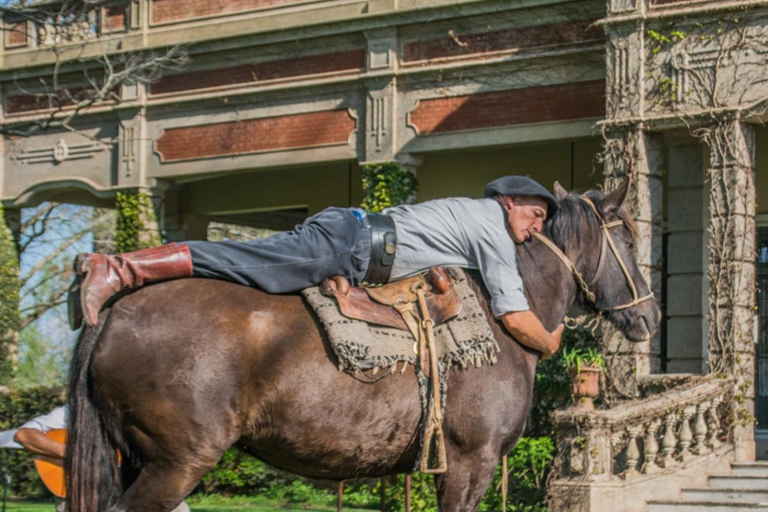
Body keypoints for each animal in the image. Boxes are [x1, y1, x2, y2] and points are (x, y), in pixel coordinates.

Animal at [64, 178, 660, 510]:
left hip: (135, 461)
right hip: (176, 464)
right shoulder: (471, 465)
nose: (650, 315)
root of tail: (115, 312)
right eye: (629, 239)